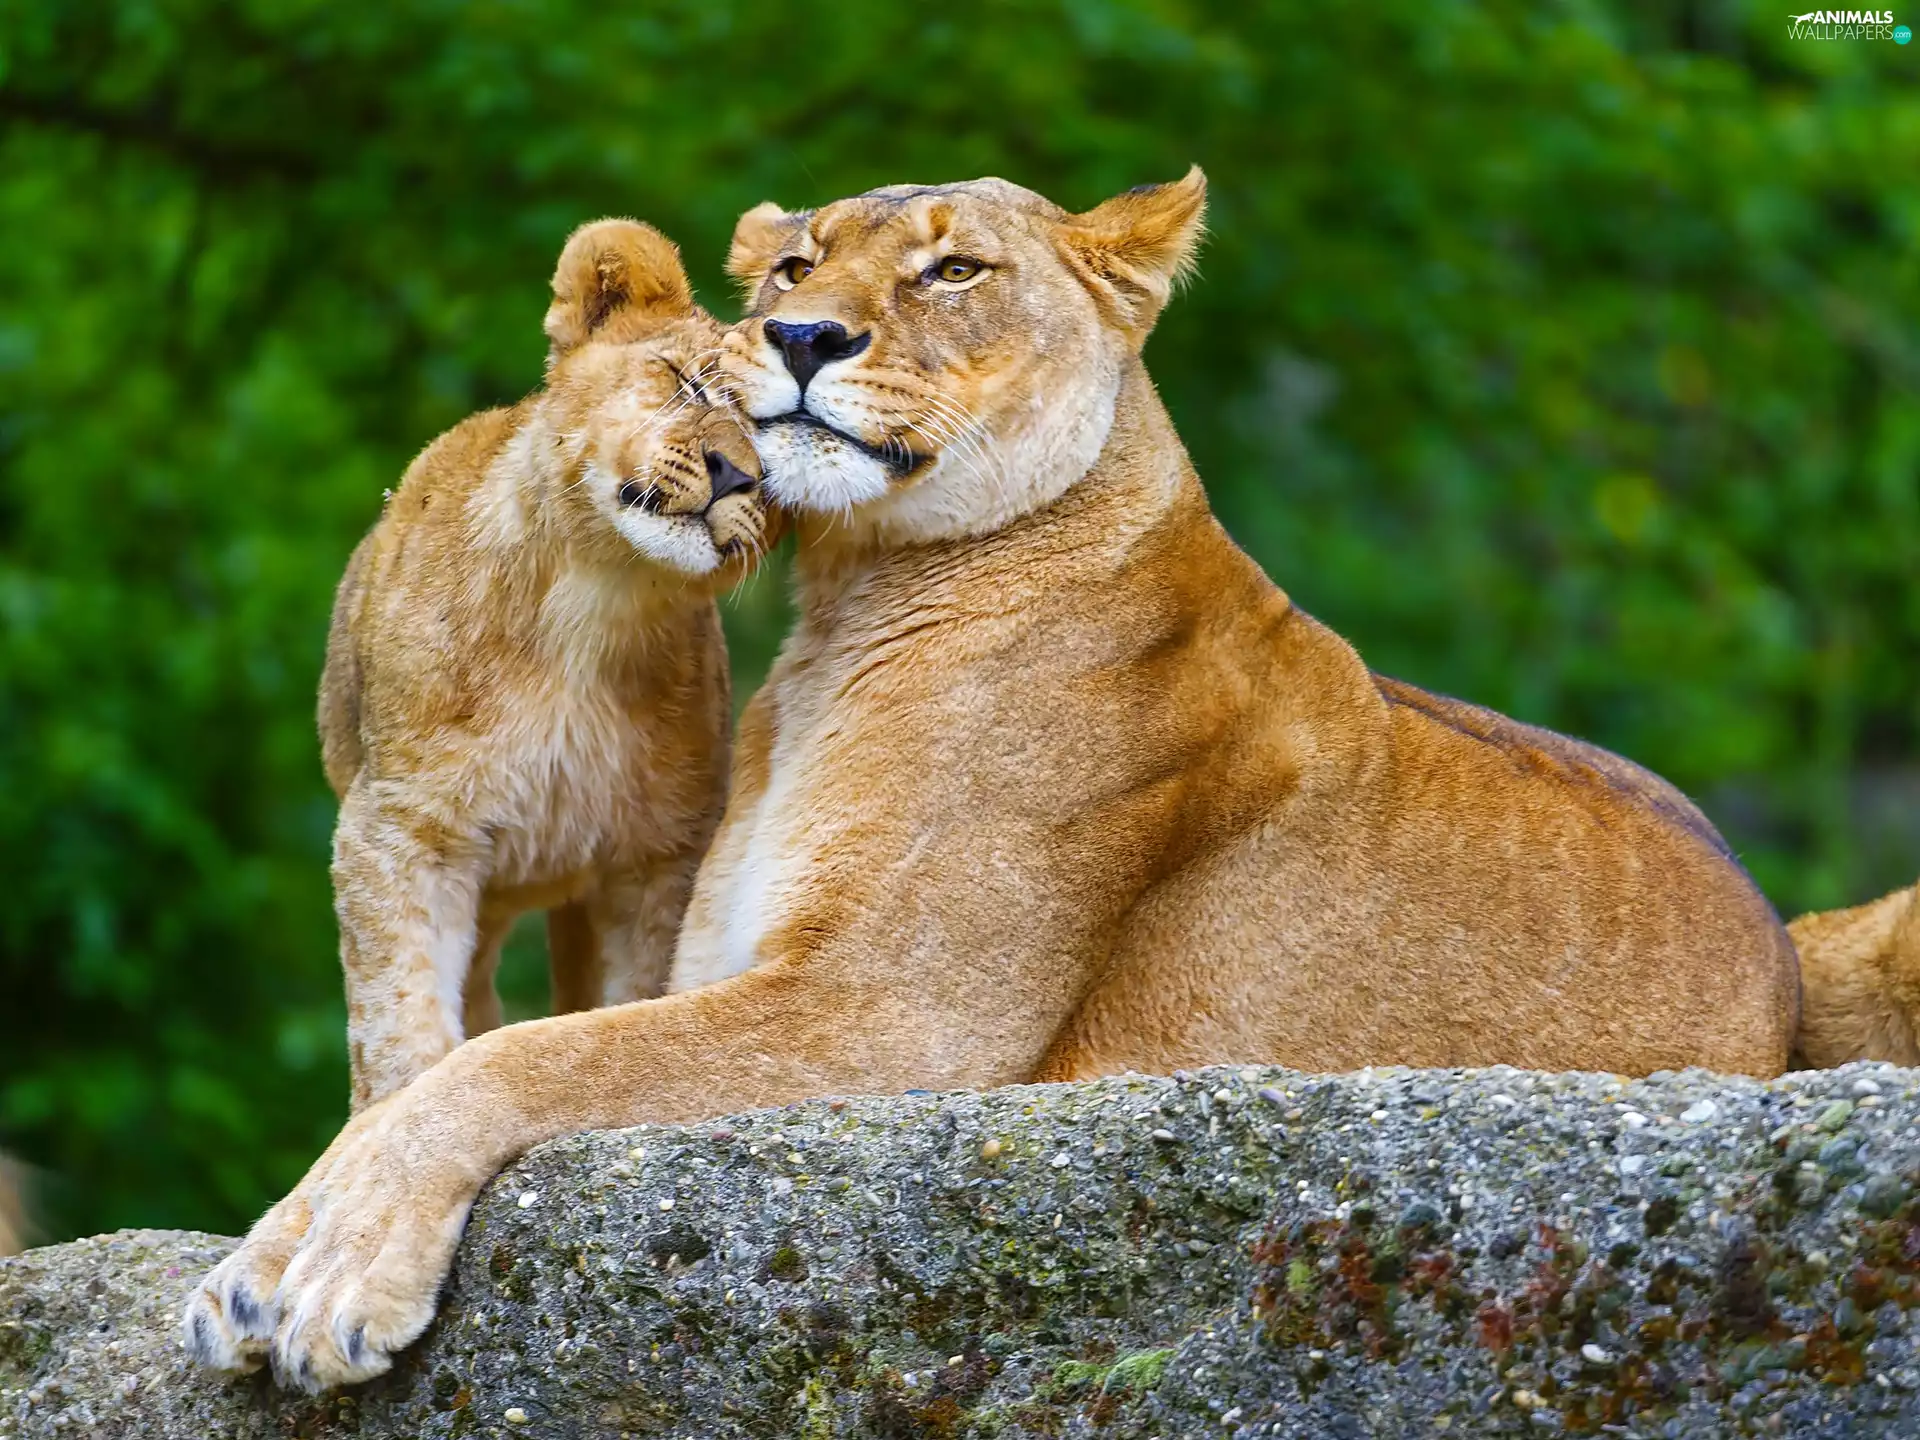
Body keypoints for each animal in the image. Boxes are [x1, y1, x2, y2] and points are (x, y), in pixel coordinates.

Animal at [317, 217, 771, 1110]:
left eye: (781, 434)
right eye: (684, 382)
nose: (736, 473)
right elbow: (398, 1018)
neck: (595, 607)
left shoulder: (657, 856)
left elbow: (636, 1001)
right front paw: (392, 1120)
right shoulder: (400, 829)